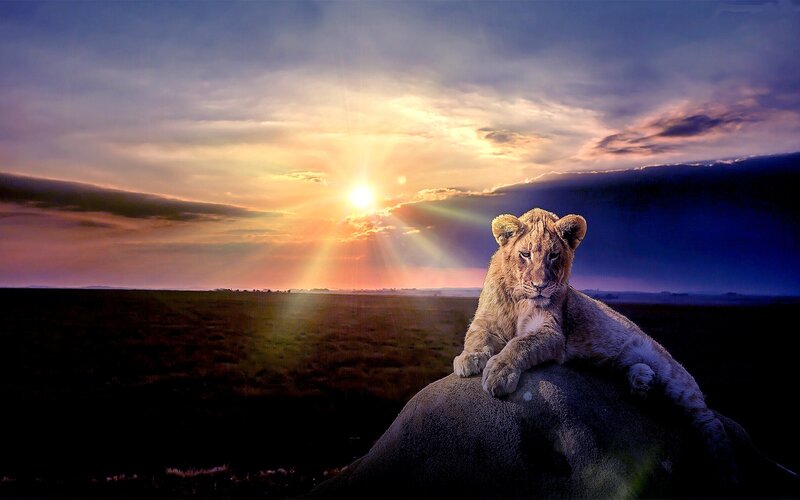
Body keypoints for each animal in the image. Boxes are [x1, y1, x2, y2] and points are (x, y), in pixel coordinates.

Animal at [453, 208, 734, 475]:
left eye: (553, 255)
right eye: (525, 254)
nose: (540, 286)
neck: (517, 297)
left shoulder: (552, 330)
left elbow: (519, 344)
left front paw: (499, 372)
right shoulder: (485, 320)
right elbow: (475, 337)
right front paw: (468, 359)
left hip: (674, 376)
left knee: (708, 419)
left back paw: (724, 462)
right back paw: (642, 383)